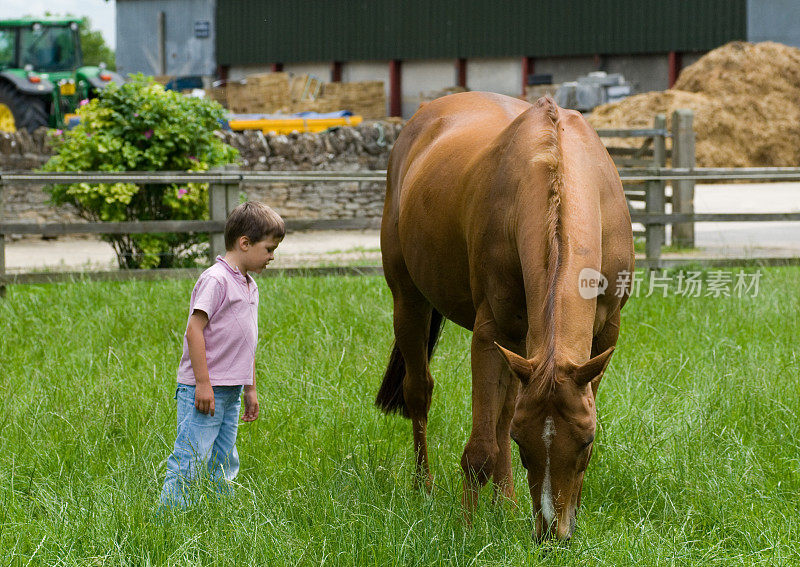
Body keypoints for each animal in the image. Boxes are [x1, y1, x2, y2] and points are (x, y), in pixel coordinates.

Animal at [378, 93, 636, 540]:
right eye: (523, 444)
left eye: (586, 441)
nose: (551, 534)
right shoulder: (491, 333)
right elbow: (482, 447)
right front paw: (467, 531)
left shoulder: (602, 337)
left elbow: (504, 421)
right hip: (409, 301)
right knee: (420, 392)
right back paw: (424, 488)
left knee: (502, 408)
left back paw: (508, 503)